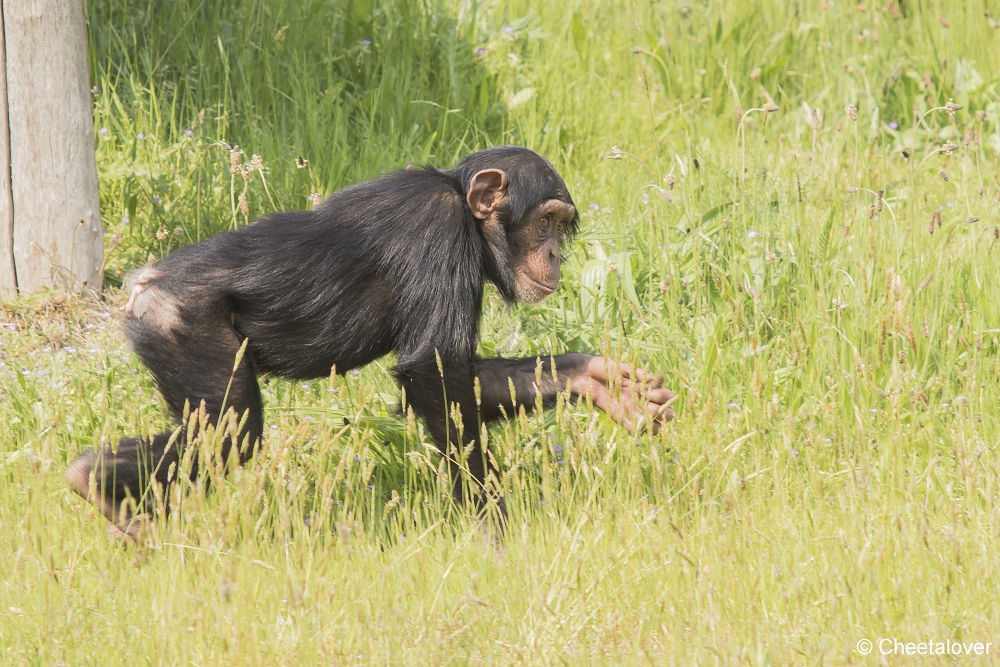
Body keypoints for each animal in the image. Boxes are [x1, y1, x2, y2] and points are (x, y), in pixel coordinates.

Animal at [66, 146, 676, 536]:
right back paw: (95, 486)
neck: (465, 209)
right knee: (229, 431)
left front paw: (595, 379)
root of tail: (142, 287)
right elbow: (433, 368)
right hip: (184, 327)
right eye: (545, 223)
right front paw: (489, 519)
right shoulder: (437, 230)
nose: (555, 253)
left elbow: (466, 374)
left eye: (561, 226)